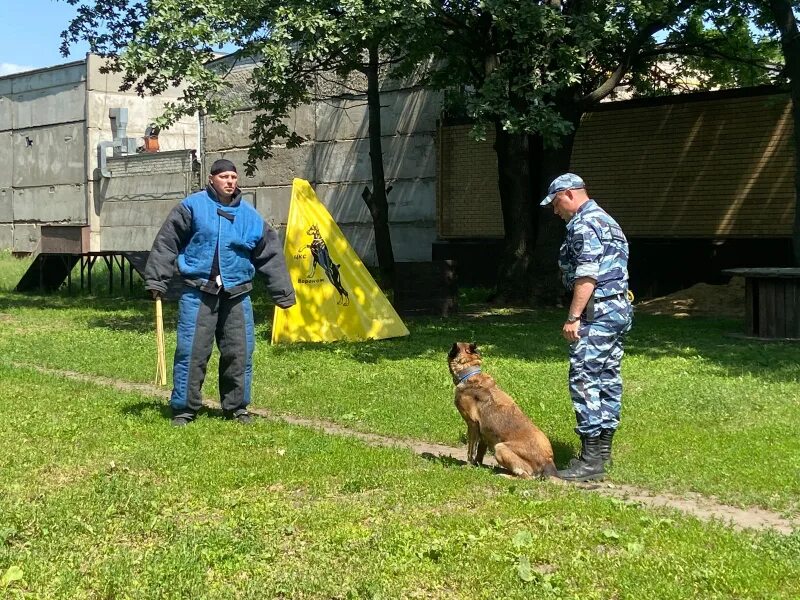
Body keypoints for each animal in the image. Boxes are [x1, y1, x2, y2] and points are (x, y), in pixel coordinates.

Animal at [450, 342, 556, 478]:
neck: (469, 373)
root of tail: (548, 461)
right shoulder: (483, 432)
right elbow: (480, 452)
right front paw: (478, 465)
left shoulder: (472, 425)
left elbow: (471, 450)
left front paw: (468, 465)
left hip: (500, 448)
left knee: (526, 476)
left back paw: (504, 475)